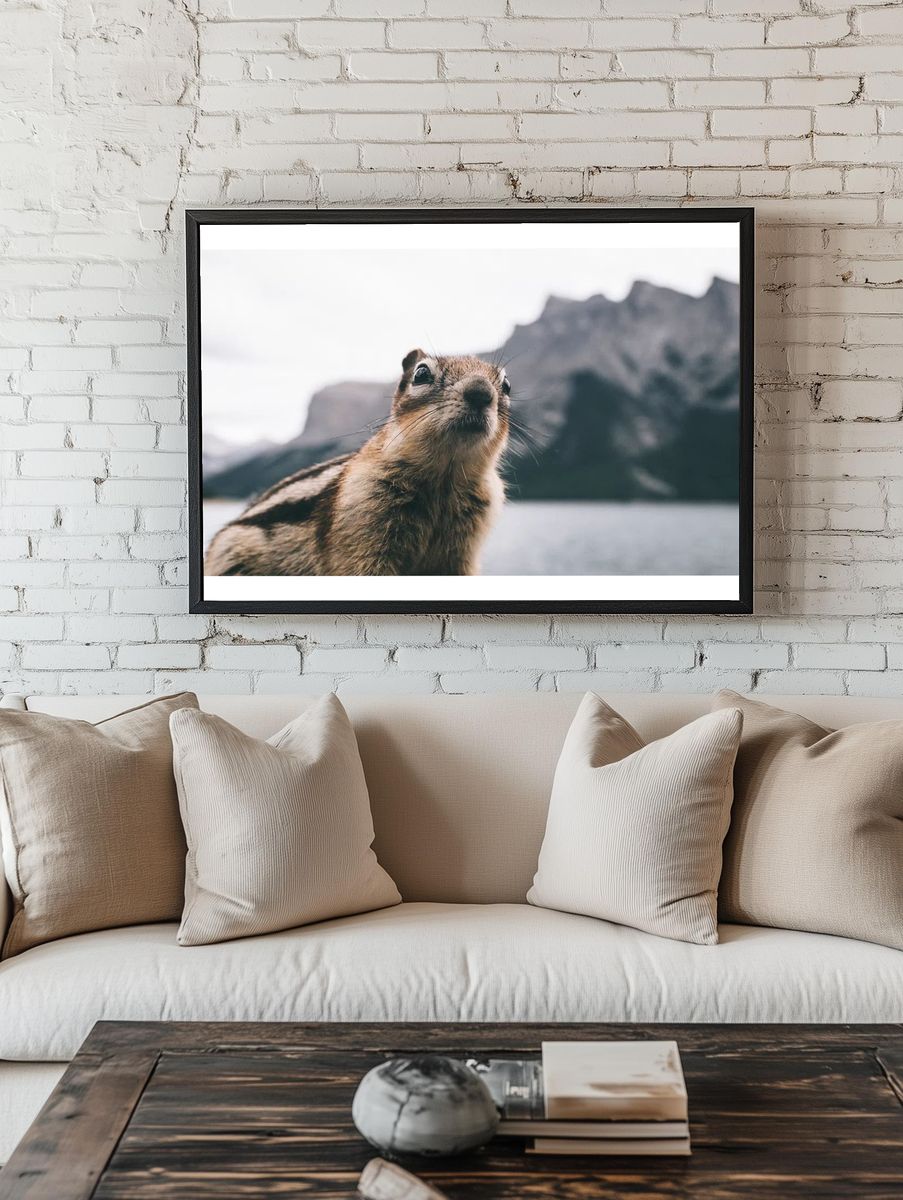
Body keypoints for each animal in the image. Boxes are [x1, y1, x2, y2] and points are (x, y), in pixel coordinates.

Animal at [205, 349, 511, 577]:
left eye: (507, 385)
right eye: (421, 373)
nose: (481, 392)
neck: (445, 478)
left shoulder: (462, 553)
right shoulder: (361, 529)